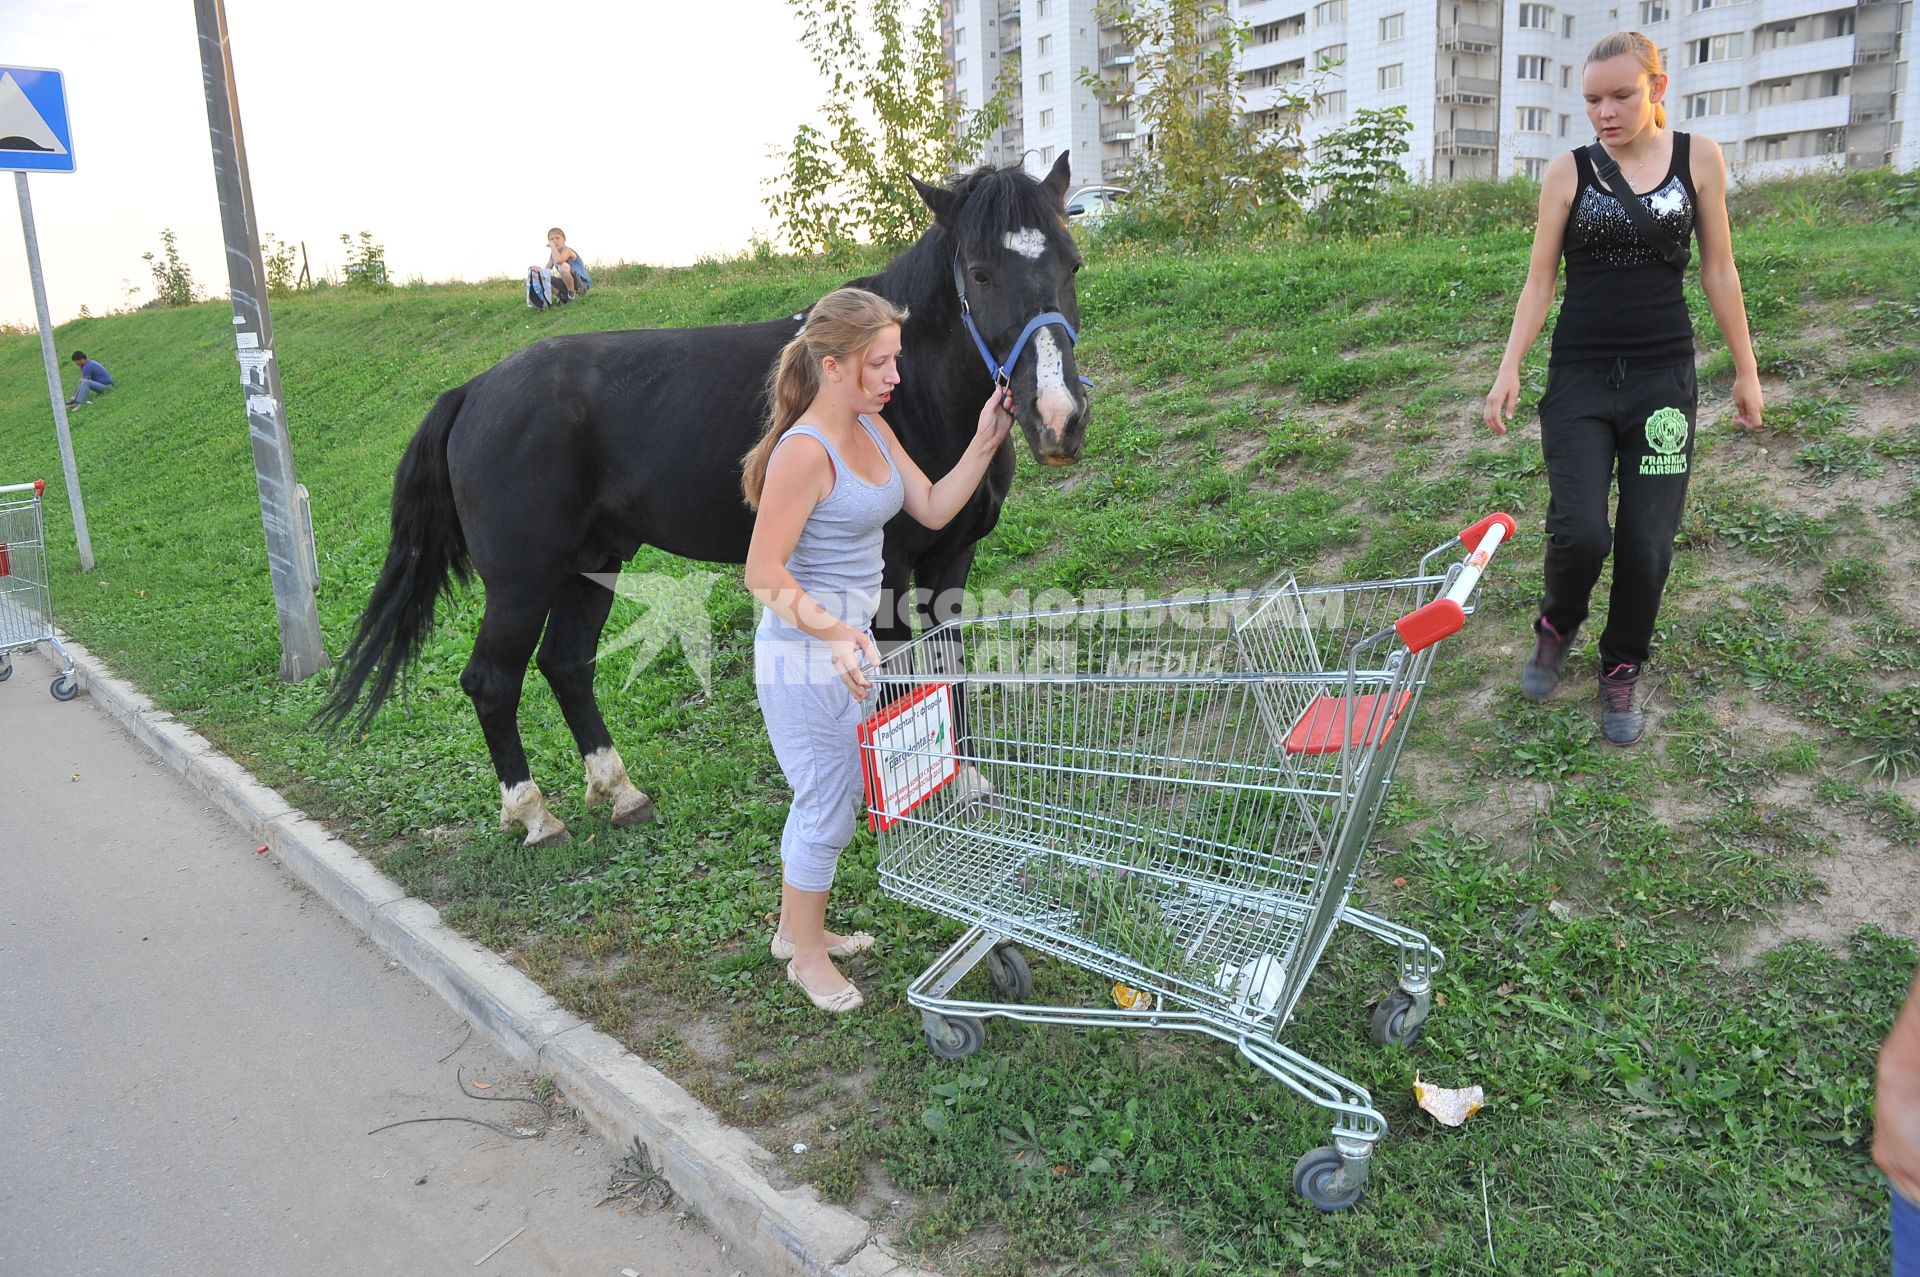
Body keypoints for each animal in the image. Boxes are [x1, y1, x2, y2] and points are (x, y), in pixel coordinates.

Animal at [322, 154, 1090, 841]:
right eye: (981, 273)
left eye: (1072, 263)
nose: (1059, 417)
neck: (914, 393)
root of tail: (475, 390)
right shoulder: (889, 572)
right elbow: (899, 678)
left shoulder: (951, 562)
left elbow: (948, 665)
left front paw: (964, 778)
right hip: (520, 579)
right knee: (491, 680)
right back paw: (534, 815)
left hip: (590, 565)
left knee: (566, 665)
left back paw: (621, 791)